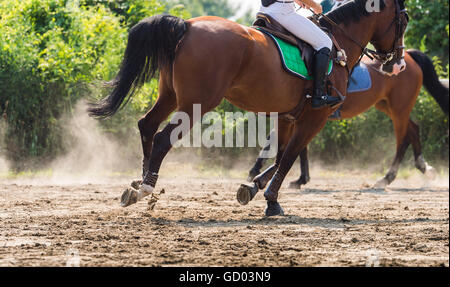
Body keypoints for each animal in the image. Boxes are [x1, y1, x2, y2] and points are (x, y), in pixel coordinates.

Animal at [89, 0, 410, 216]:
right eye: (403, 20)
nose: (397, 64)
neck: (339, 43)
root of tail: (188, 26)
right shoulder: (315, 117)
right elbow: (289, 156)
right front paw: (272, 201)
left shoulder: (286, 116)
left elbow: (280, 155)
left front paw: (254, 187)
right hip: (196, 104)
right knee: (161, 138)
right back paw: (146, 187)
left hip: (169, 95)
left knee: (147, 124)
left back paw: (138, 183)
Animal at [250, 49, 450, 191]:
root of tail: (408, 55)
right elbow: (298, 147)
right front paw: (301, 179)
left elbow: (280, 142)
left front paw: (256, 171)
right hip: (388, 106)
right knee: (413, 129)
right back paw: (424, 167)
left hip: (399, 108)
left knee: (402, 139)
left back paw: (387, 177)